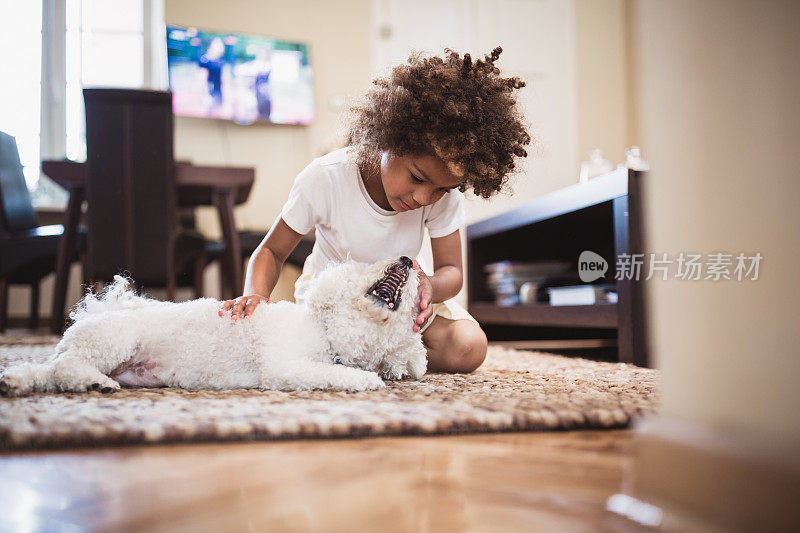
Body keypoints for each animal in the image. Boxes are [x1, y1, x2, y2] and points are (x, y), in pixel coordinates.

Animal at [0, 256, 428, 392]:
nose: (408, 259)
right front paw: (367, 380)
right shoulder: (284, 366)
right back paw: (94, 383)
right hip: (115, 341)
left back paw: (17, 381)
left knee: (48, 372)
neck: (326, 332)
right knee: (65, 367)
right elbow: (338, 375)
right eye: (365, 265)